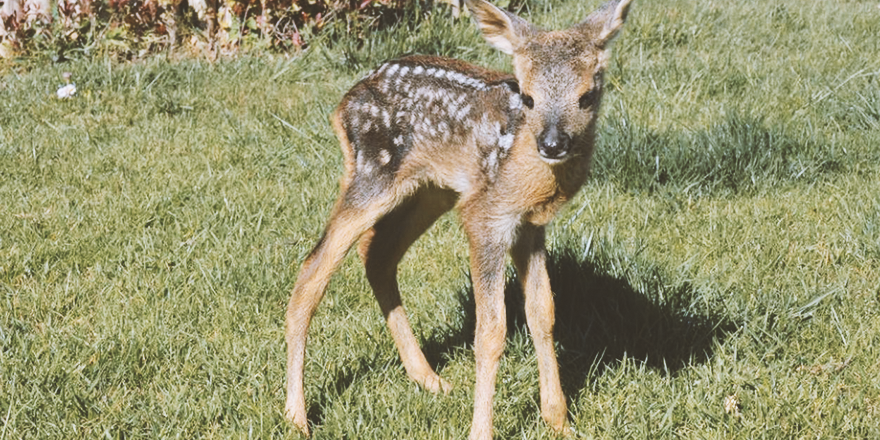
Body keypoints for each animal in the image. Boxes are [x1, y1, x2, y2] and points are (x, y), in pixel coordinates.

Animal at [286, 0, 636, 436]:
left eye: (587, 96)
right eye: (528, 97)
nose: (552, 144)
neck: (530, 175)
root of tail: (345, 102)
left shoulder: (528, 227)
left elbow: (543, 313)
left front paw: (559, 423)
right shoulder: (484, 218)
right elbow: (491, 331)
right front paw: (482, 431)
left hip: (431, 190)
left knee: (377, 256)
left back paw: (428, 379)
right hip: (372, 175)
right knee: (312, 270)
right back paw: (297, 417)